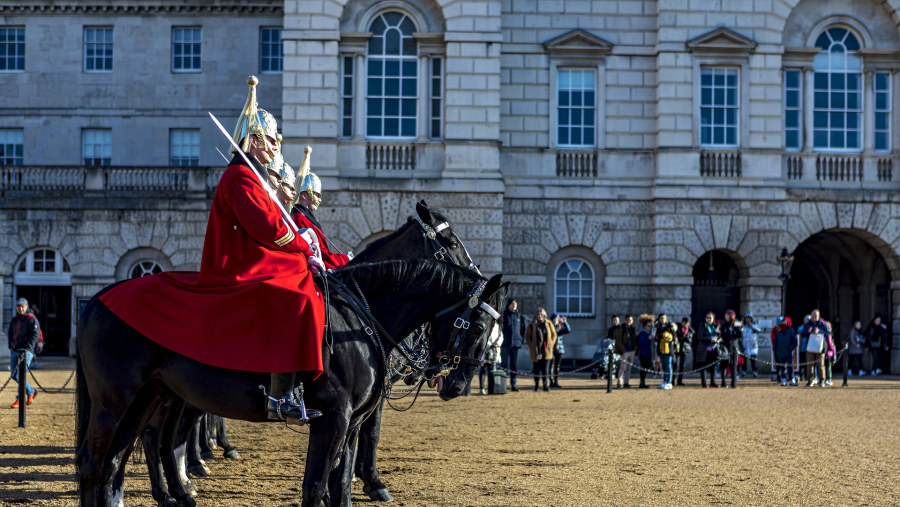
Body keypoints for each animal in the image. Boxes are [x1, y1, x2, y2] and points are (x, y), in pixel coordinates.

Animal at [75, 260, 506, 506]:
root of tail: (98, 296)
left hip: (147, 398)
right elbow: (315, 486)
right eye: (479, 326)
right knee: (96, 465)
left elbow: (340, 485)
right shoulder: (333, 418)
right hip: (117, 402)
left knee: (115, 463)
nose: (459, 384)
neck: (359, 321)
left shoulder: (351, 423)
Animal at [134, 201, 482, 504]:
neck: (360, 312)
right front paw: (371, 483)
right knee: (166, 433)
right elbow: (366, 439)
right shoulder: (345, 410)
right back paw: (186, 476)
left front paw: (355, 484)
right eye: (451, 241)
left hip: (172, 393)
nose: (457, 384)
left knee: (161, 435)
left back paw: (177, 487)